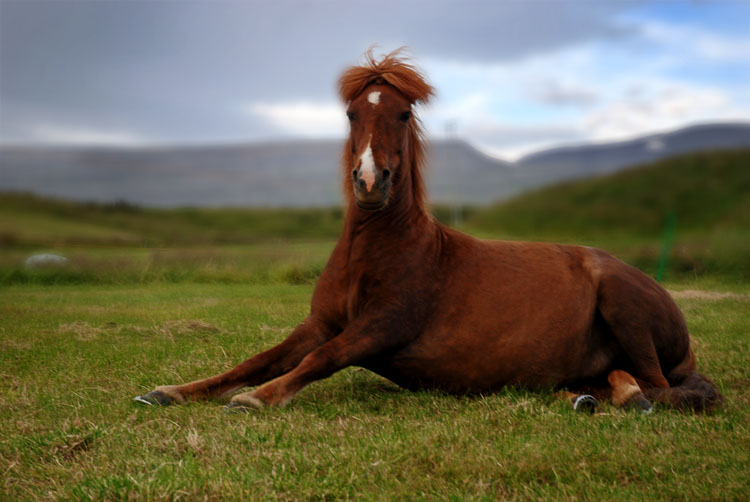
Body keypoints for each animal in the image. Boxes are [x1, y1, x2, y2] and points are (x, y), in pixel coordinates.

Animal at [134, 51, 724, 414]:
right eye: (351, 114)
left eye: (402, 113)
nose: (370, 181)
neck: (379, 249)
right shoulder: (321, 322)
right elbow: (258, 358)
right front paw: (171, 391)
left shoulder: (381, 326)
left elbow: (319, 360)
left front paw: (259, 398)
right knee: (620, 381)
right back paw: (587, 398)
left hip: (624, 306)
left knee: (664, 388)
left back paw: (627, 398)